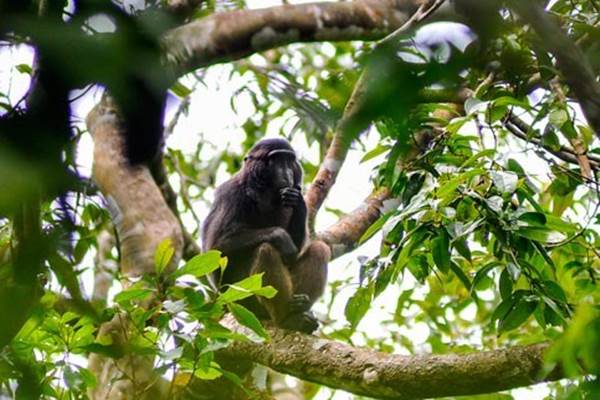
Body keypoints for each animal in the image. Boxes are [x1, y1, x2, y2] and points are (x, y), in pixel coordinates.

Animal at [202, 139, 328, 332]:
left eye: (288, 161)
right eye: (276, 161)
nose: (287, 173)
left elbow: (298, 248)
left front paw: (297, 200)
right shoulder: (231, 193)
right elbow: (215, 247)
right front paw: (281, 237)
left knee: (320, 249)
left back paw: (299, 309)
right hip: (242, 298)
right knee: (266, 250)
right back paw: (286, 319)